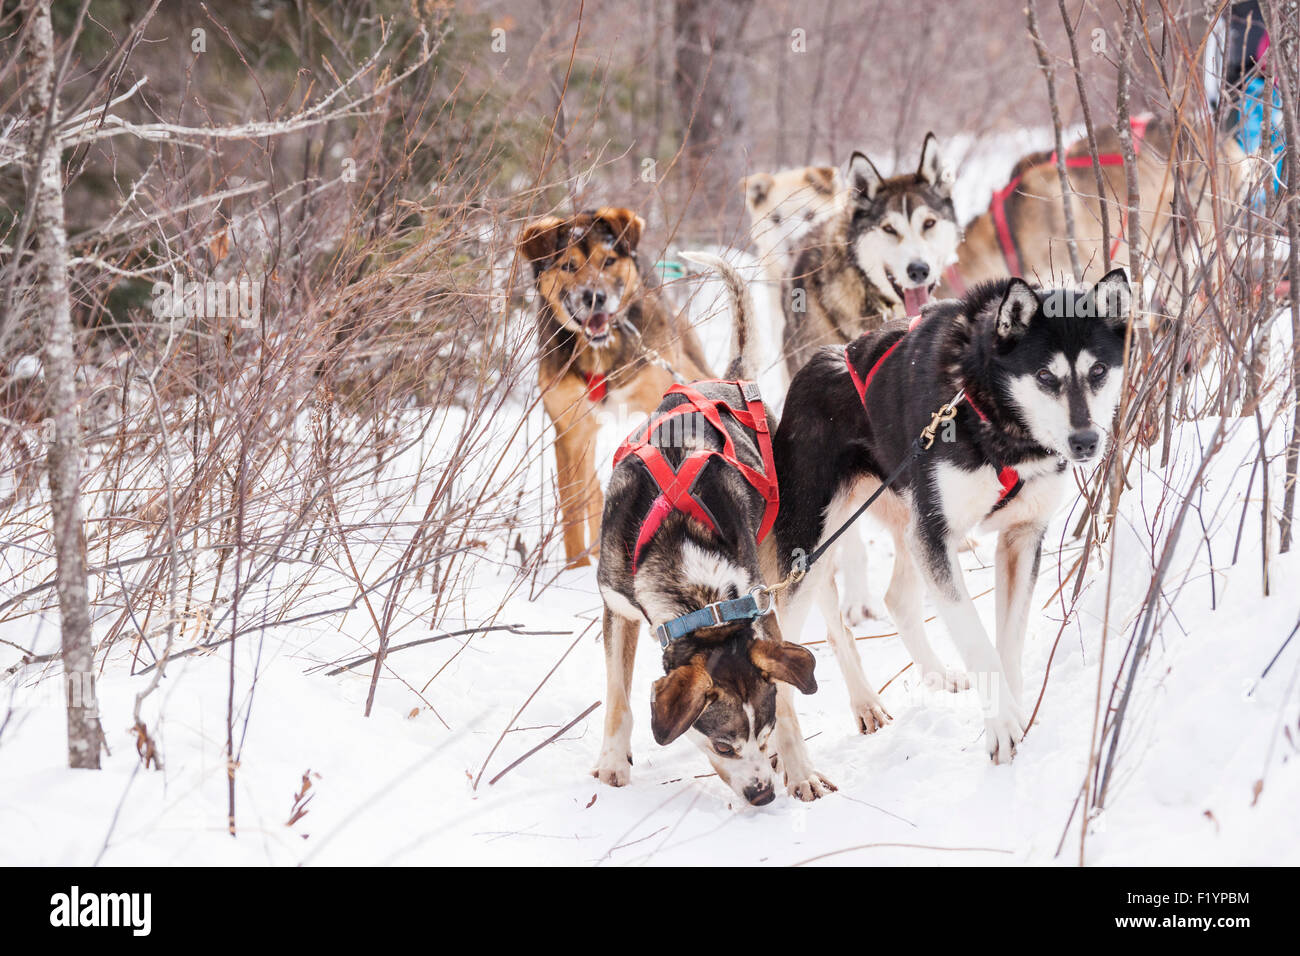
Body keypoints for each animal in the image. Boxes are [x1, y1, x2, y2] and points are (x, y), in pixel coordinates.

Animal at [517, 208, 712, 567]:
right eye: (568, 265)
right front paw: (576, 568)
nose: (595, 298)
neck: (600, 352)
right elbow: (573, 508)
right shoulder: (571, 432)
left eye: (607, 261)